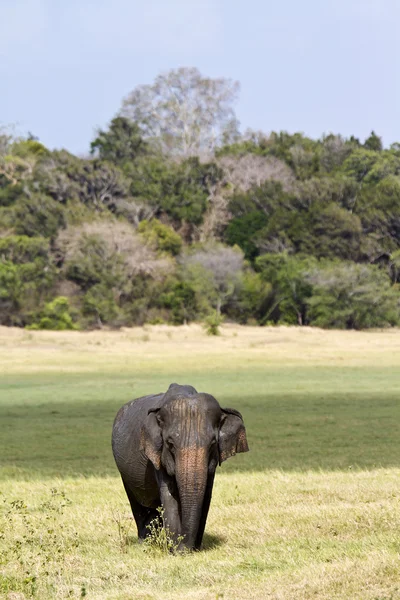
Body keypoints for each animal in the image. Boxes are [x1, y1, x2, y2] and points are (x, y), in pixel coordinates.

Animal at [111, 384, 247, 548]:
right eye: (170, 443)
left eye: (213, 443)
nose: (184, 546)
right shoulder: (157, 455)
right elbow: (169, 495)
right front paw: (177, 549)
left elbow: (205, 497)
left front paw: (192, 549)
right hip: (124, 472)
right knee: (138, 505)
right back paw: (145, 543)